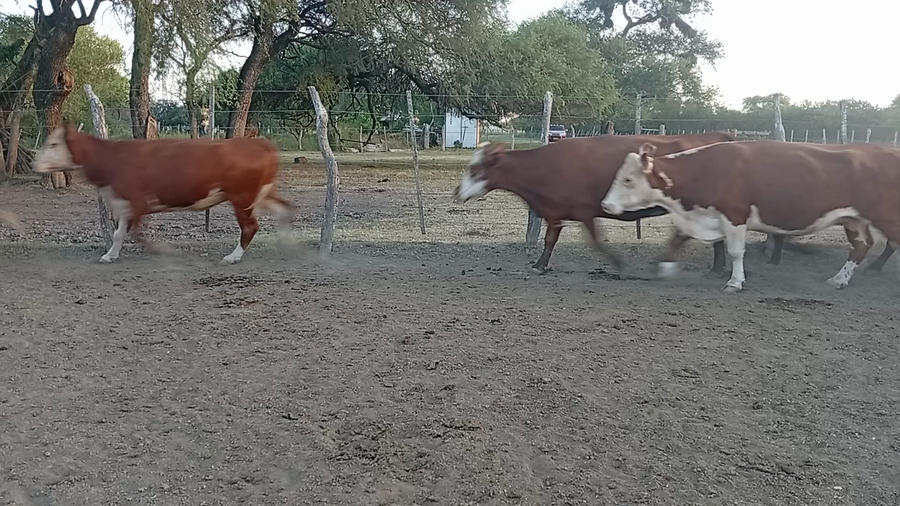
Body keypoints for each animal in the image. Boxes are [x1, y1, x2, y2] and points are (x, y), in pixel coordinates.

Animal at [32, 124, 295, 264]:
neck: (113, 159)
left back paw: (233, 256)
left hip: (242, 196)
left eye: (53, 144)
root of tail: (258, 143)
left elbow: (135, 233)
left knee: (250, 226)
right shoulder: (125, 203)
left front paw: (161, 250)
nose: (35, 164)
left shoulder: (137, 201)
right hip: (261, 193)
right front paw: (110, 255)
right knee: (284, 209)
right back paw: (285, 243)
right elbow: (119, 233)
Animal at [452, 133, 786, 277]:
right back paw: (716, 267)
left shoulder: (585, 211)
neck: (547, 165)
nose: (457, 191)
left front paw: (618, 264)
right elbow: (549, 239)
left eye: (476, 170)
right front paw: (540, 264)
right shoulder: (556, 212)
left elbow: (597, 242)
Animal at [601, 140, 900, 292]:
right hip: (854, 219)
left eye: (628, 179)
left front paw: (734, 282)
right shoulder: (705, 214)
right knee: (861, 246)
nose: (606, 204)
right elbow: (678, 237)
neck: (707, 169)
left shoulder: (735, 215)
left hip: (886, 217)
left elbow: (735, 252)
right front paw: (663, 267)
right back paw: (839, 279)